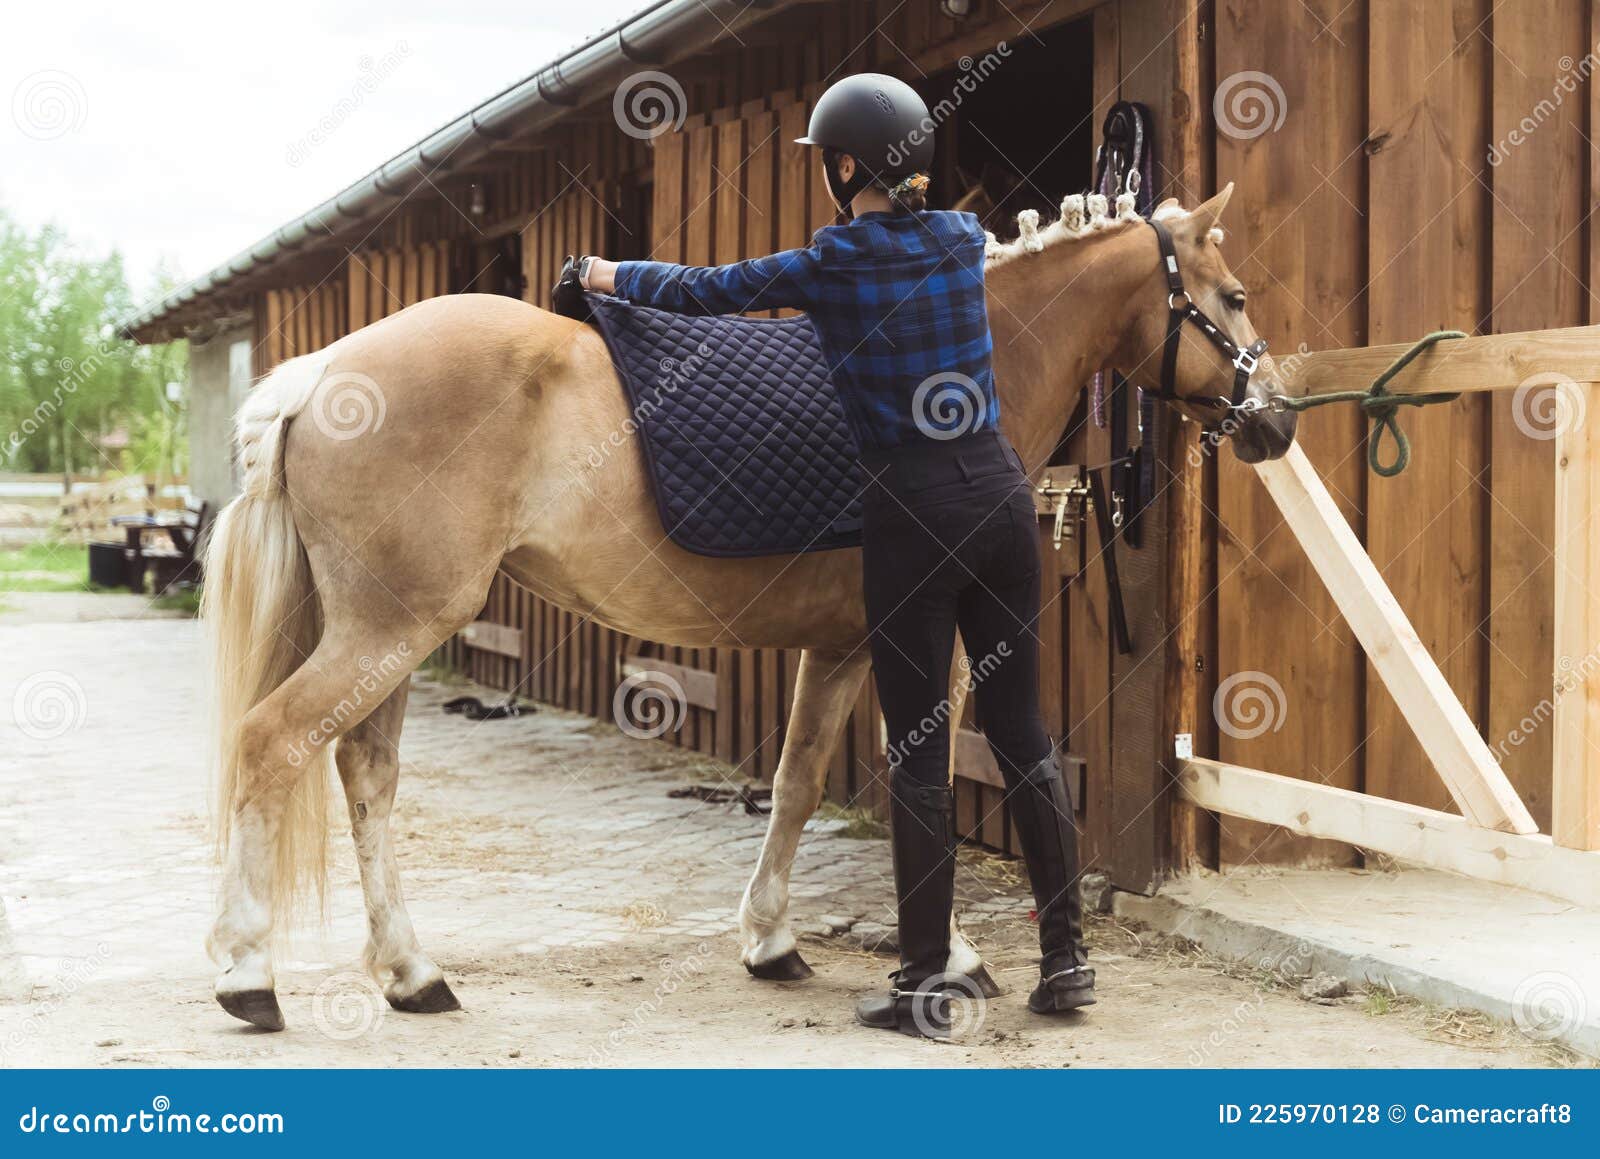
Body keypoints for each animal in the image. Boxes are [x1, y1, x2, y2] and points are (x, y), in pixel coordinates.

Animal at [203, 183, 1299, 1030]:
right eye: (1235, 297)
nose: (1276, 421)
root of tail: (322, 375)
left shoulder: (839, 646)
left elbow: (799, 781)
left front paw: (769, 939)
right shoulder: (930, 643)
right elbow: (924, 779)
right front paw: (946, 960)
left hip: (390, 633)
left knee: (366, 772)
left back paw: (411, 973)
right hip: (389, 632)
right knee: (272, 744)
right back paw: (250, 975)